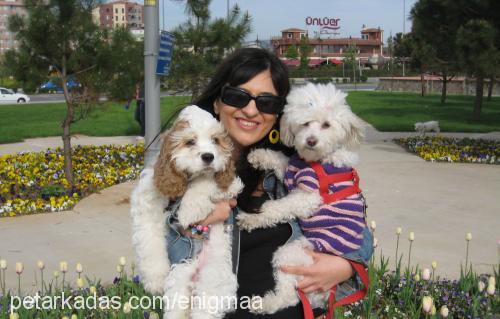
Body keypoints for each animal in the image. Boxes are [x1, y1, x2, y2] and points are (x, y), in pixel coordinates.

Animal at [130, 105, 243, 319]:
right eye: (190, 141)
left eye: (215, 141)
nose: (209, 156)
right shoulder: (147, 202)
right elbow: (149, 241)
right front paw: (155, 280)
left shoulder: (230, 185)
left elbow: (206, 180)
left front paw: (188, 211)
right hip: (180, 276)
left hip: (214, 281)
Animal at [236, 84, 366, 316]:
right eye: (305, 123)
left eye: (326, 125)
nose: (310, 141)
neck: (315, 160)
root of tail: (324, 295)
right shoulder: (291, 170)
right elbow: (282, 159)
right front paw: (259, 156)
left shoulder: (308, 196)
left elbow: (277, 207)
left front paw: (252, 218)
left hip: (293, 254)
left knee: (289, 295)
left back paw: (265, 304)